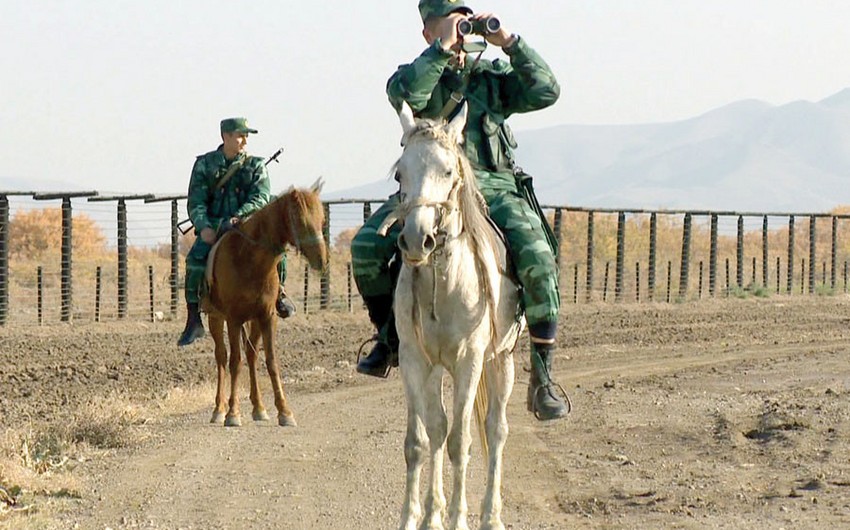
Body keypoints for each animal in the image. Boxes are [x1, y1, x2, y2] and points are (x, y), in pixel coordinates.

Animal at [202, 179, 328, 426]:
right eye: (301, 221)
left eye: (322, 220)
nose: (322, 259)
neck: (250, 259)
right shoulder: (233, 319)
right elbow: (235, 361)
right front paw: (233, 413)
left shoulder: (267, 316)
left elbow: (270, 361)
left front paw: (284, 411)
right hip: (215, 317)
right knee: (222, 357)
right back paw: (219, 409)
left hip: (254, 321)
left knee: (251, 356)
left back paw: (259, 408)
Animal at [380, 103, 524, 528]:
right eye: (400, 173)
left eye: (447, 171)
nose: (416, 239)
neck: (445, 282)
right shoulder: (415, 359)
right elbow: (420, 440)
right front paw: (416, 517)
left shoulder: (469, 360)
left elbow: (462, 440)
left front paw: (459, 518)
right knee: (438, 427)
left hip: (501, 361)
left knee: (495, 429)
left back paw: (491, 515)